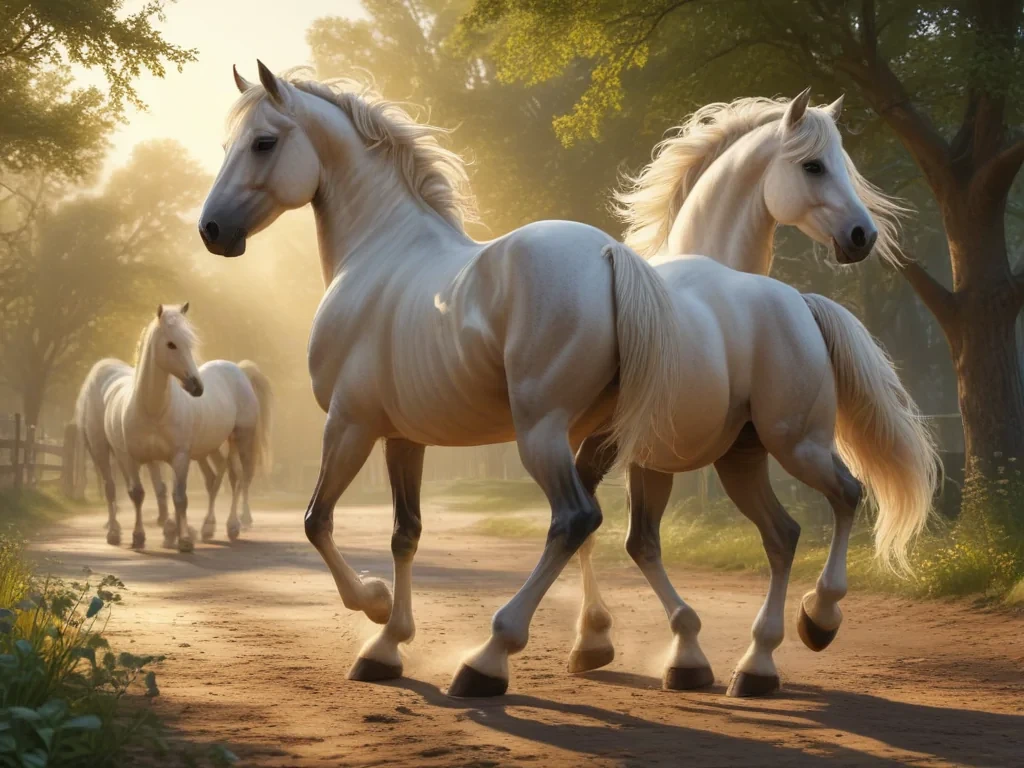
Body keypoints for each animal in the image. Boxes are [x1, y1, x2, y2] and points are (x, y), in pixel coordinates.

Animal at [75, 363, 243, 545]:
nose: (195, 387)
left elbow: (164, 487)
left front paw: (175, 529)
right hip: (100, 449)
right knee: (110, 487)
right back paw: (114, 531)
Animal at [102, 304, 273, 553]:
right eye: (171, 344)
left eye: (190, 344)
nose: (197, 387)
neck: (152, 410)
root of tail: (238, 370)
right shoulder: (129, 458)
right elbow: (138, 494)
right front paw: (140, 536)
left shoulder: (180, 457)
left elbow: (180, 498)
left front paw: (183, 540)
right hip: (209, 449)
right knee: (214, 479)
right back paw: (208, 527)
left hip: (240, 438)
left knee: (236, 477)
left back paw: (233, 525)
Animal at [198, 62, 683, 698]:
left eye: (263, 142)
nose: (211, 229)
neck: (378, 250)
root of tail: (607, 256)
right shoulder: (404, 438)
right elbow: (406, 533)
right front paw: (387, 646)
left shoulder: (350, 426)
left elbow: (316, 522)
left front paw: (375, 604)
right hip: (598, 435)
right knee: (591, 526)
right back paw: (596, 643)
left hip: (541, 432)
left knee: (573, 519)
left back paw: (489, 658)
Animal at [564, 89, 939, 697]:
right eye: (814, 166)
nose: (863, 237)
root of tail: (801, 303)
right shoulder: (643, 457)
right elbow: (634, 542)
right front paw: (607, 644)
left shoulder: (645, 457)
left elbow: (628, 539)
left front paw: (671, 651)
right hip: (748, 458)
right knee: (787, 531)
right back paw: (763, 655)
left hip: (792, 446)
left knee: (842, 498)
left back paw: (808, 626)